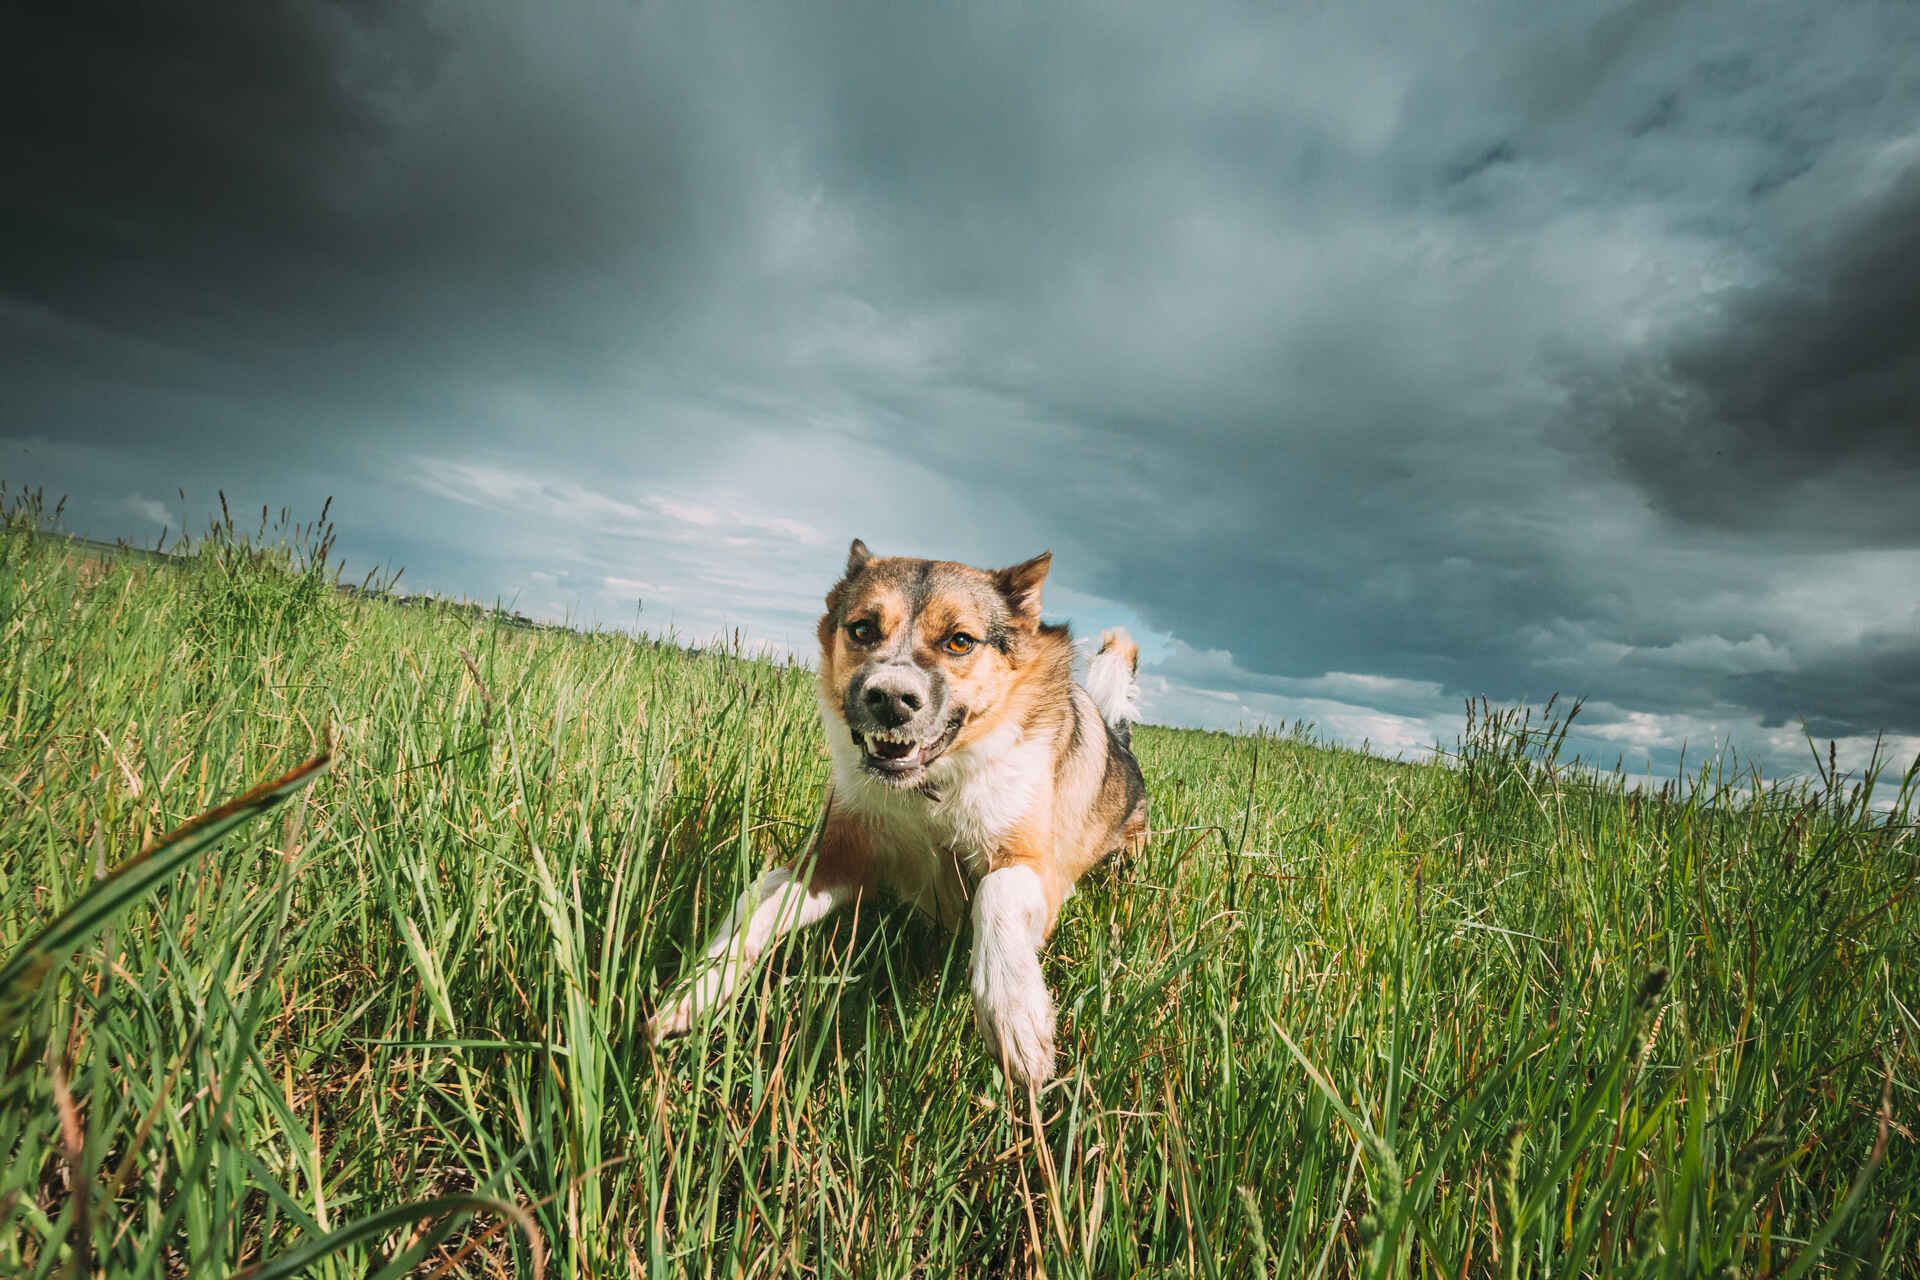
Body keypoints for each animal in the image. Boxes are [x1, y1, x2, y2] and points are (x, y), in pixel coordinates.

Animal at [652, 541, 1144, 1090]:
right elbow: (757, 902)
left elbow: (995, 895)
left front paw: (1015, 1019)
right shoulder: (837, 854)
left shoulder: (1033, 862)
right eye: (863, 628)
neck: (926, 792)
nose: (890, 699)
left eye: (960, 641)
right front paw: (695, 991)